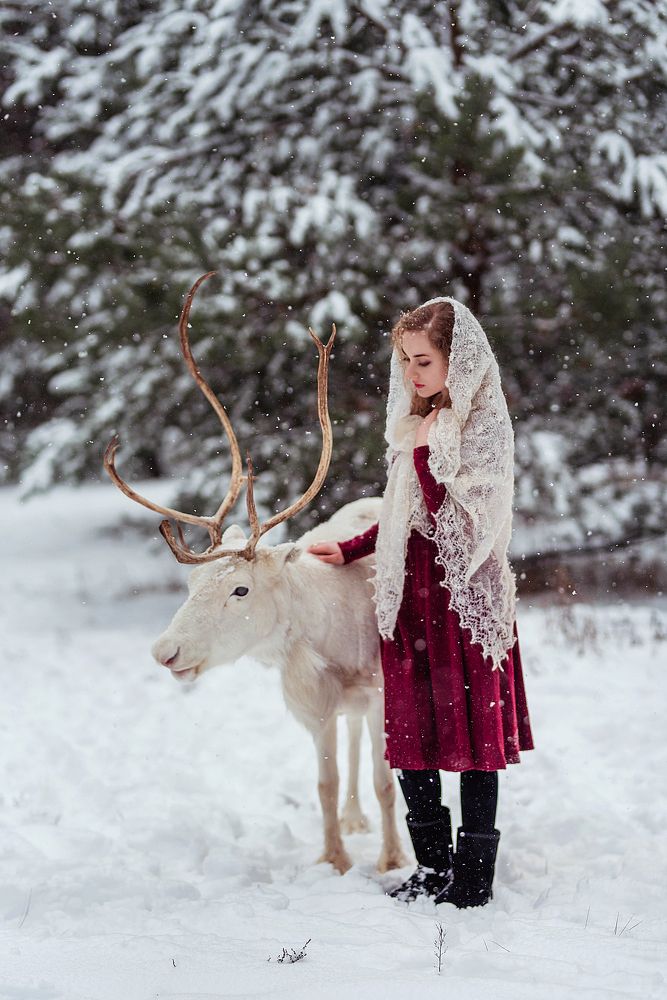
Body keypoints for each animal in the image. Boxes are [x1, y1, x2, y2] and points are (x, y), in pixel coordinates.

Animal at [103, 271, 407, 876]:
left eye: (240, 588)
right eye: (190, 585)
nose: (165, 651)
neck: (331, 641)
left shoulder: (382, 693)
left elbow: (388, 783)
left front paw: (391, 860)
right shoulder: (315, 706)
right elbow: (324, 784)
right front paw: (335, 859)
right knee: (352, 746)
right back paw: (354, 819)